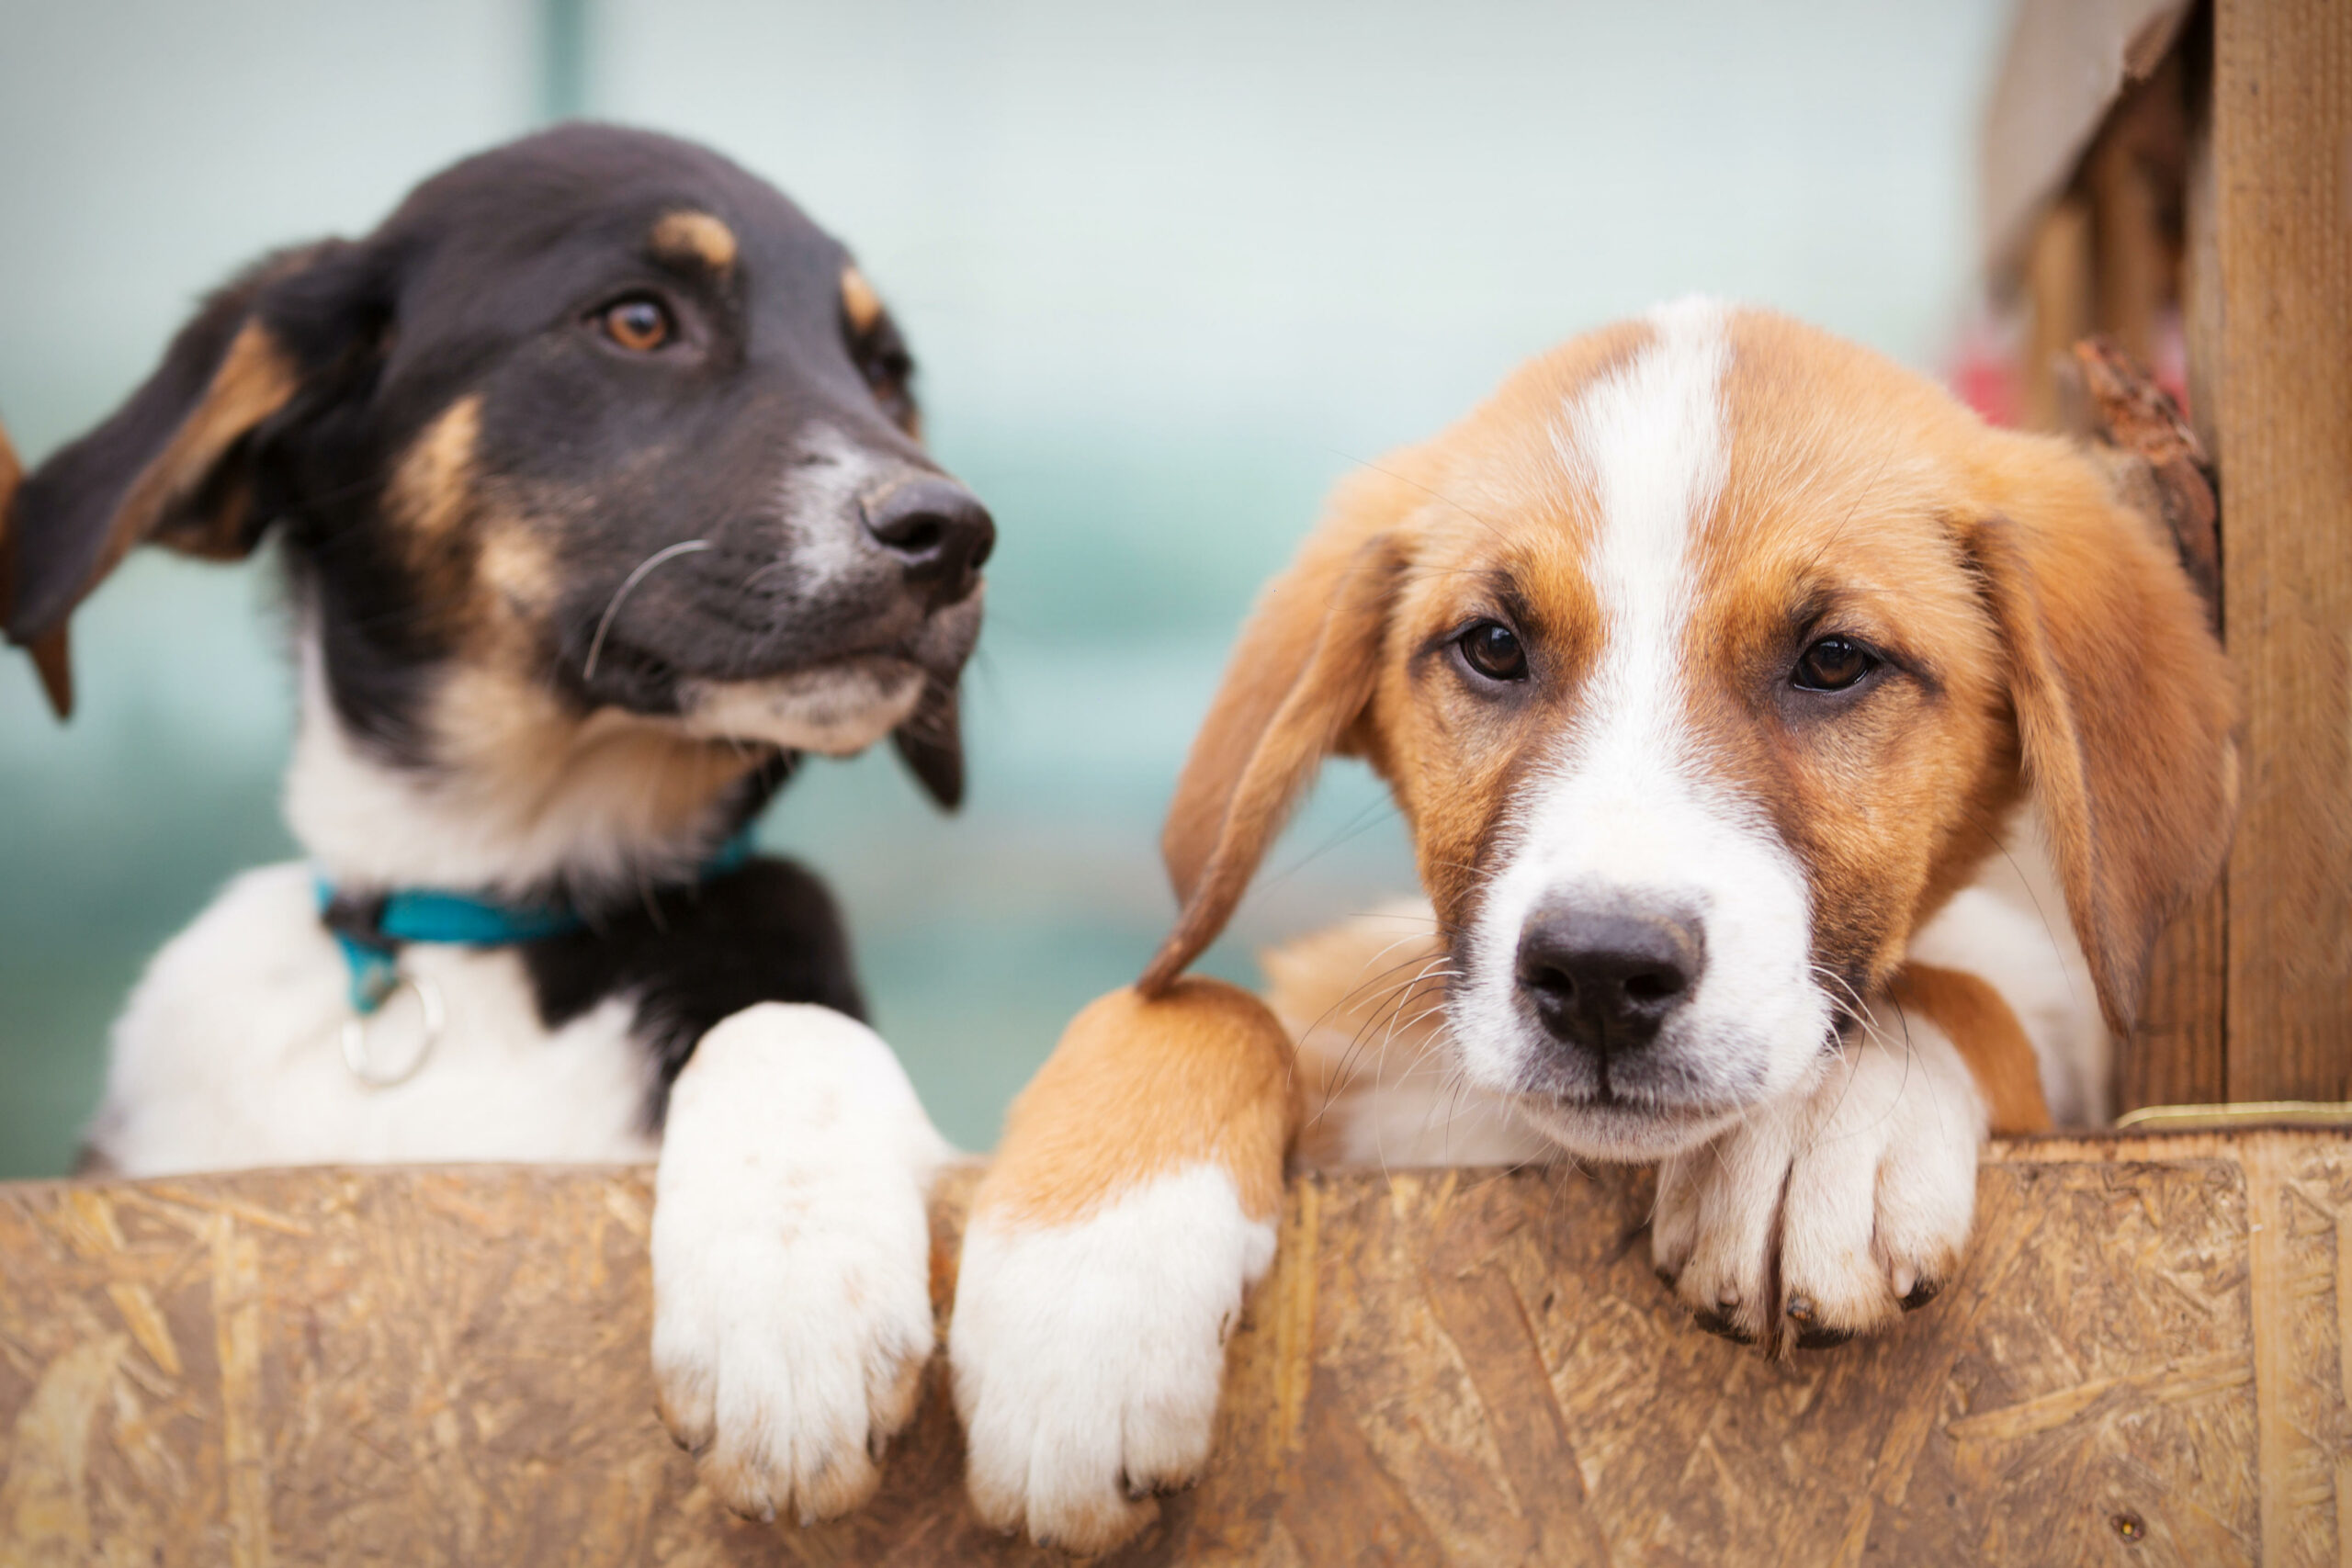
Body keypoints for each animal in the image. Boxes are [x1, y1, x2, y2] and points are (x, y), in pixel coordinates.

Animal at [2, 129, 992, 1523]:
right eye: (637, 320)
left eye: (885, 373)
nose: (955, 534)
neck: (485, 910)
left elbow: (785, 1022)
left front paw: (792, 1307)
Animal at [945, 300, 2229, 1551]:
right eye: (1492, 647)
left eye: (1833, 661)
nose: (1602, 973)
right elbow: (1184, 1000)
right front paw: (1081, 1303)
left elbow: (1959, 989)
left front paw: (1821, 1123)